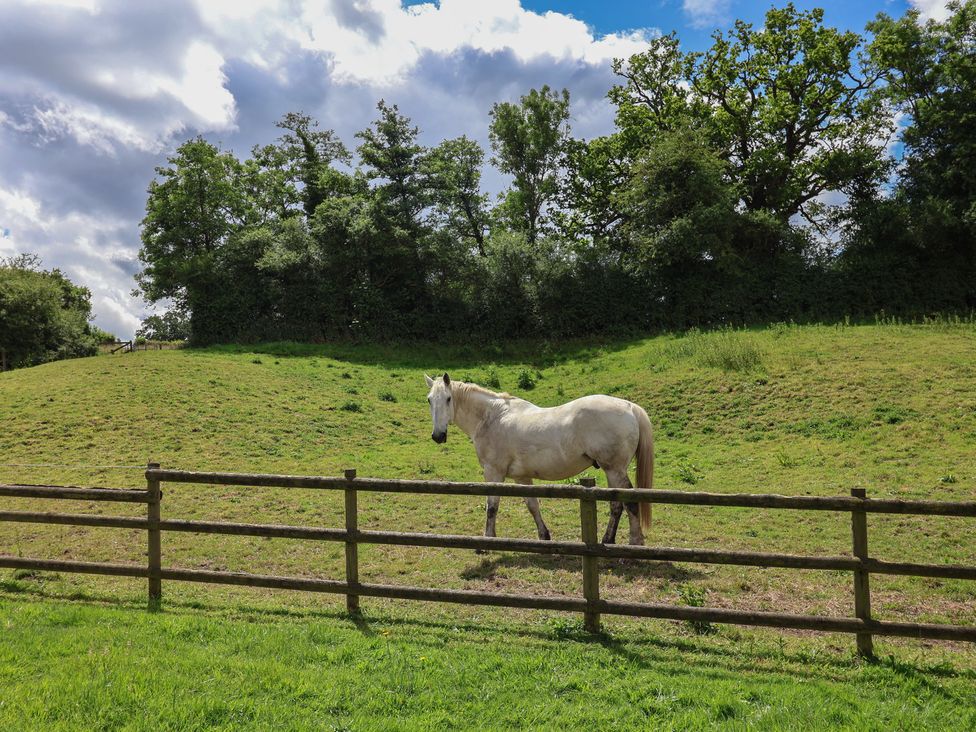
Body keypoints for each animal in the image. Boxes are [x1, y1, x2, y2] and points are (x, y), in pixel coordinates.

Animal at [425, 373, 653, 545]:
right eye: (429, 399)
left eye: (448, 399)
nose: (438, 436)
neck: (491, 417)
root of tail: (630, 407)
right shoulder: (522, 477)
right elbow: (532, 505)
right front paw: (544, 536)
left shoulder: (493, 473)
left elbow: (492, 507)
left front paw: (487, 541)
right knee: (618, 505)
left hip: (614, 469)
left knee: (628, 504)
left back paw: (632, 542)